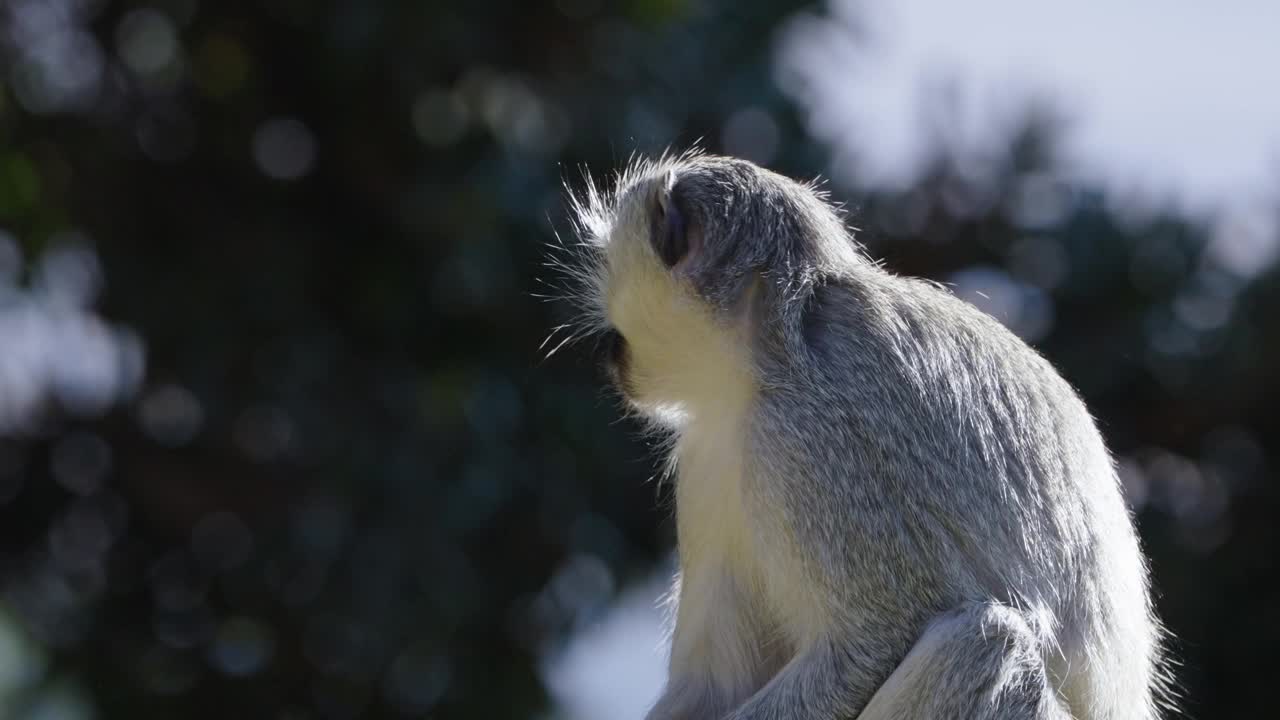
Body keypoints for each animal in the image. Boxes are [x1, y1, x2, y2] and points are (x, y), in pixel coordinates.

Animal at [550, 152, 1172, 717]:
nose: (608, 349)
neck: (771, 344)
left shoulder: (803, 442)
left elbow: (870, 645)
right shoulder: (710, 456)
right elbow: (714, 686)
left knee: (981, 643)